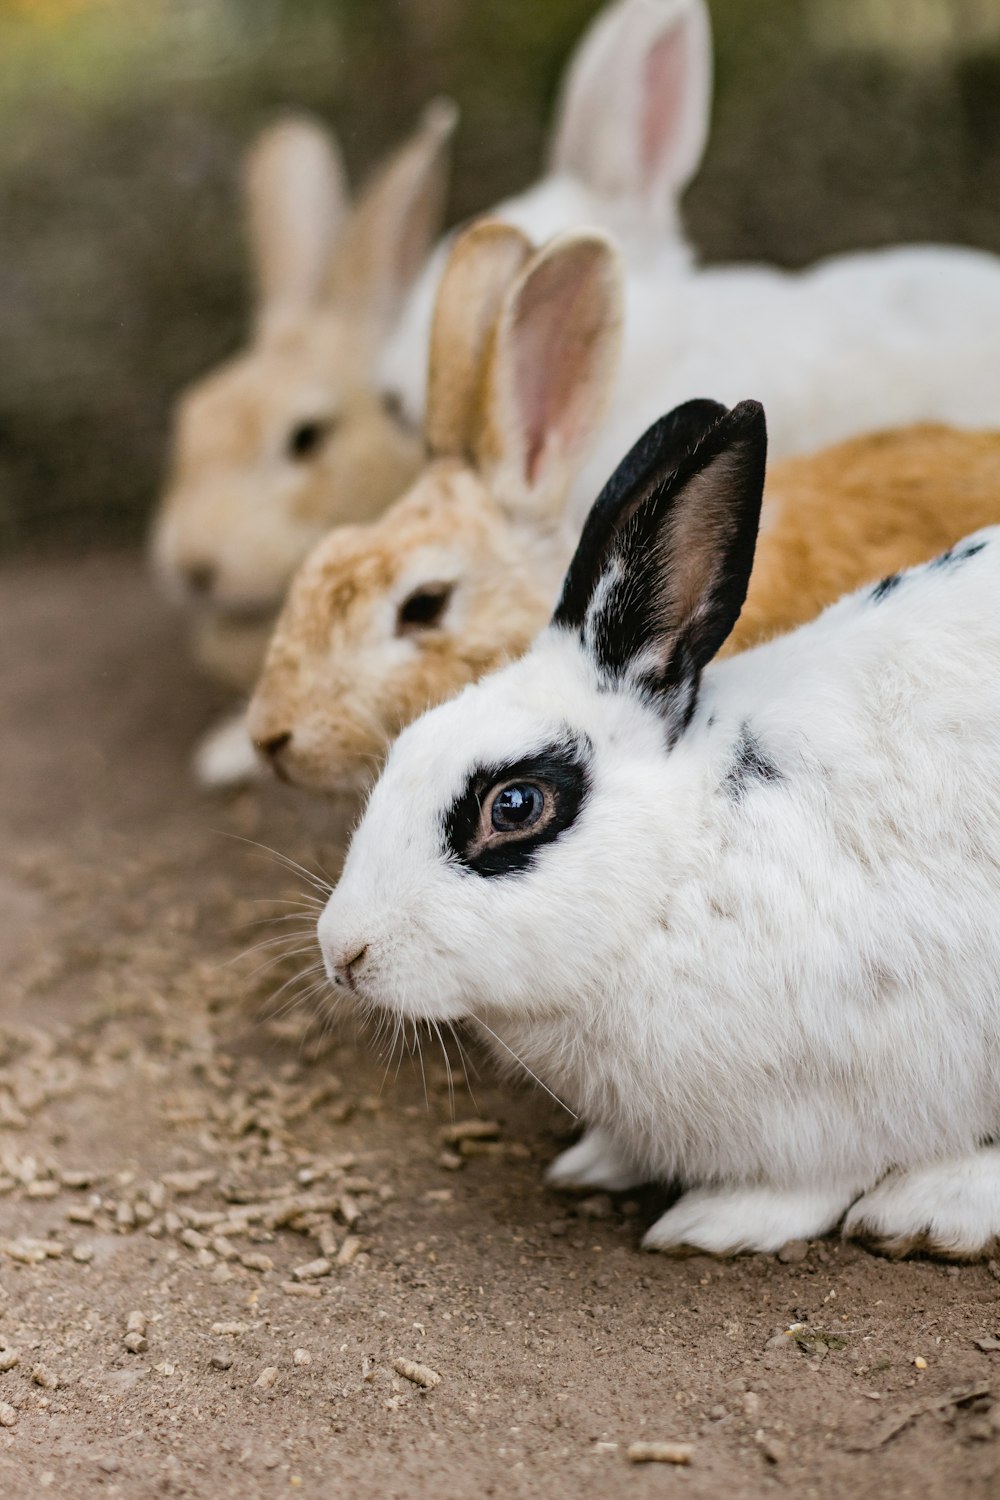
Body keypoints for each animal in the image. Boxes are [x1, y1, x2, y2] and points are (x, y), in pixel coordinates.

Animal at [316, 396, 1000, 1254]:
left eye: (515, 805)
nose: (343, 952)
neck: (687, 859)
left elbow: (809, 1182)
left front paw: (713, 1224)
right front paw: (594, 1164)